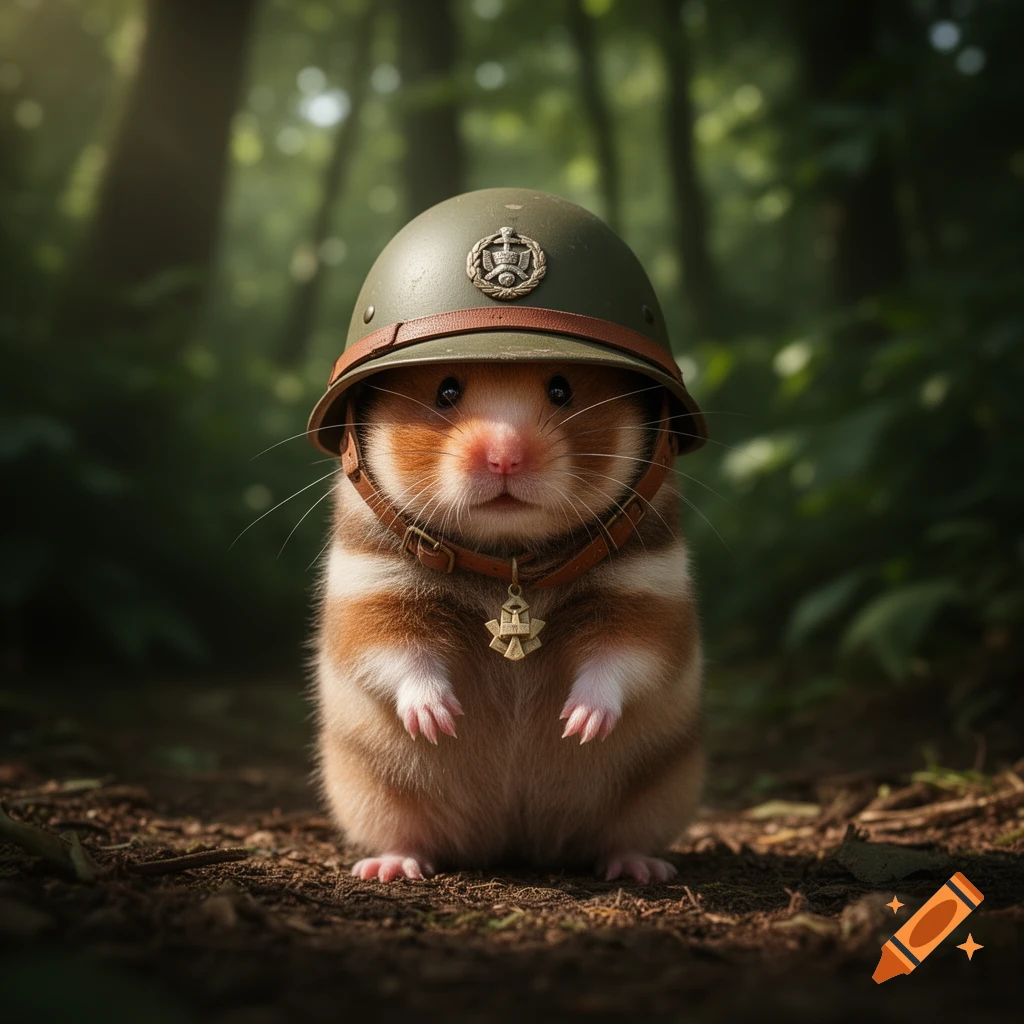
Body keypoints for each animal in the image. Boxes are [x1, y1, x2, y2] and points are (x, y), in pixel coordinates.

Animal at [313, 361, 703, 883]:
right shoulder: (373, 589)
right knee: (410, 836)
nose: (504, 461)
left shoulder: (647, 591)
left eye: (561, 389)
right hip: (373, 794)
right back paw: (389, 868)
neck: (508, 549)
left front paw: (578, 724)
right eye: (446, 391)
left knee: (622, 839)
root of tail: (513, 842)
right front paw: (440, 721)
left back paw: (640, 869)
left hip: (658, 792)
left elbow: (621, 656)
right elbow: (401, 653)